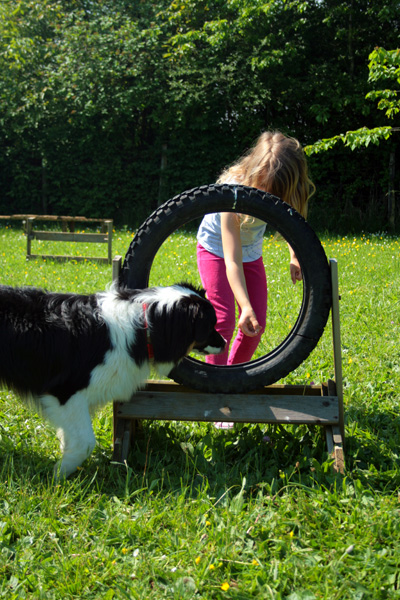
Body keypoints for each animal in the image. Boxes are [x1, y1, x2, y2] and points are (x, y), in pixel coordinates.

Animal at [0, 282, 225, 478]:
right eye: (211, 325)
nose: (224, 343)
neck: (146, 325)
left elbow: (71, 435)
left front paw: (64, 459)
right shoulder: (65, 392)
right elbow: (85, 442)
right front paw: (59, 474)